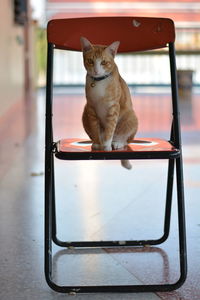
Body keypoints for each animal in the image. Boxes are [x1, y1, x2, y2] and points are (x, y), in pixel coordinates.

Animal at [79, 35, 138, 169]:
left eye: (103, 62)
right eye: (90, 61)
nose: (96, 71)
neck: (99, 82)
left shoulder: (113, 107)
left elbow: (110, 127)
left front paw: (106, 145)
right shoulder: (90, 108)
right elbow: (94, 127)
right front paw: (97, 143)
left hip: (131, 116)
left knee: (125, 140)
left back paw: (117, 142)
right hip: (84, 113)